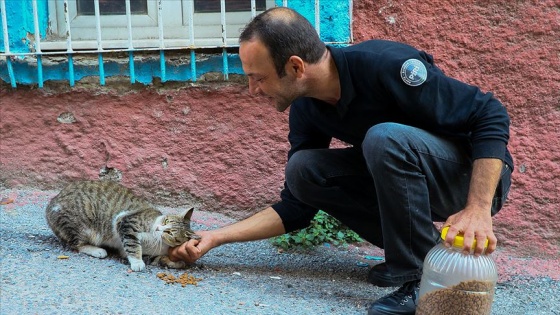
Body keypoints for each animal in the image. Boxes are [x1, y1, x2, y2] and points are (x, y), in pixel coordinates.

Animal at [46, 180, 200, 272]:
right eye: (166, 221)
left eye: (170, 233)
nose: (158, 229)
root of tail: (52, 203)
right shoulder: (126, 222)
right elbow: (133, 245)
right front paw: (137, 262)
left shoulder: (146, 252)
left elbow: (157, 259)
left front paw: (177, 263)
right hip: (81, 224)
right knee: (77, 244)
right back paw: (97, 250)